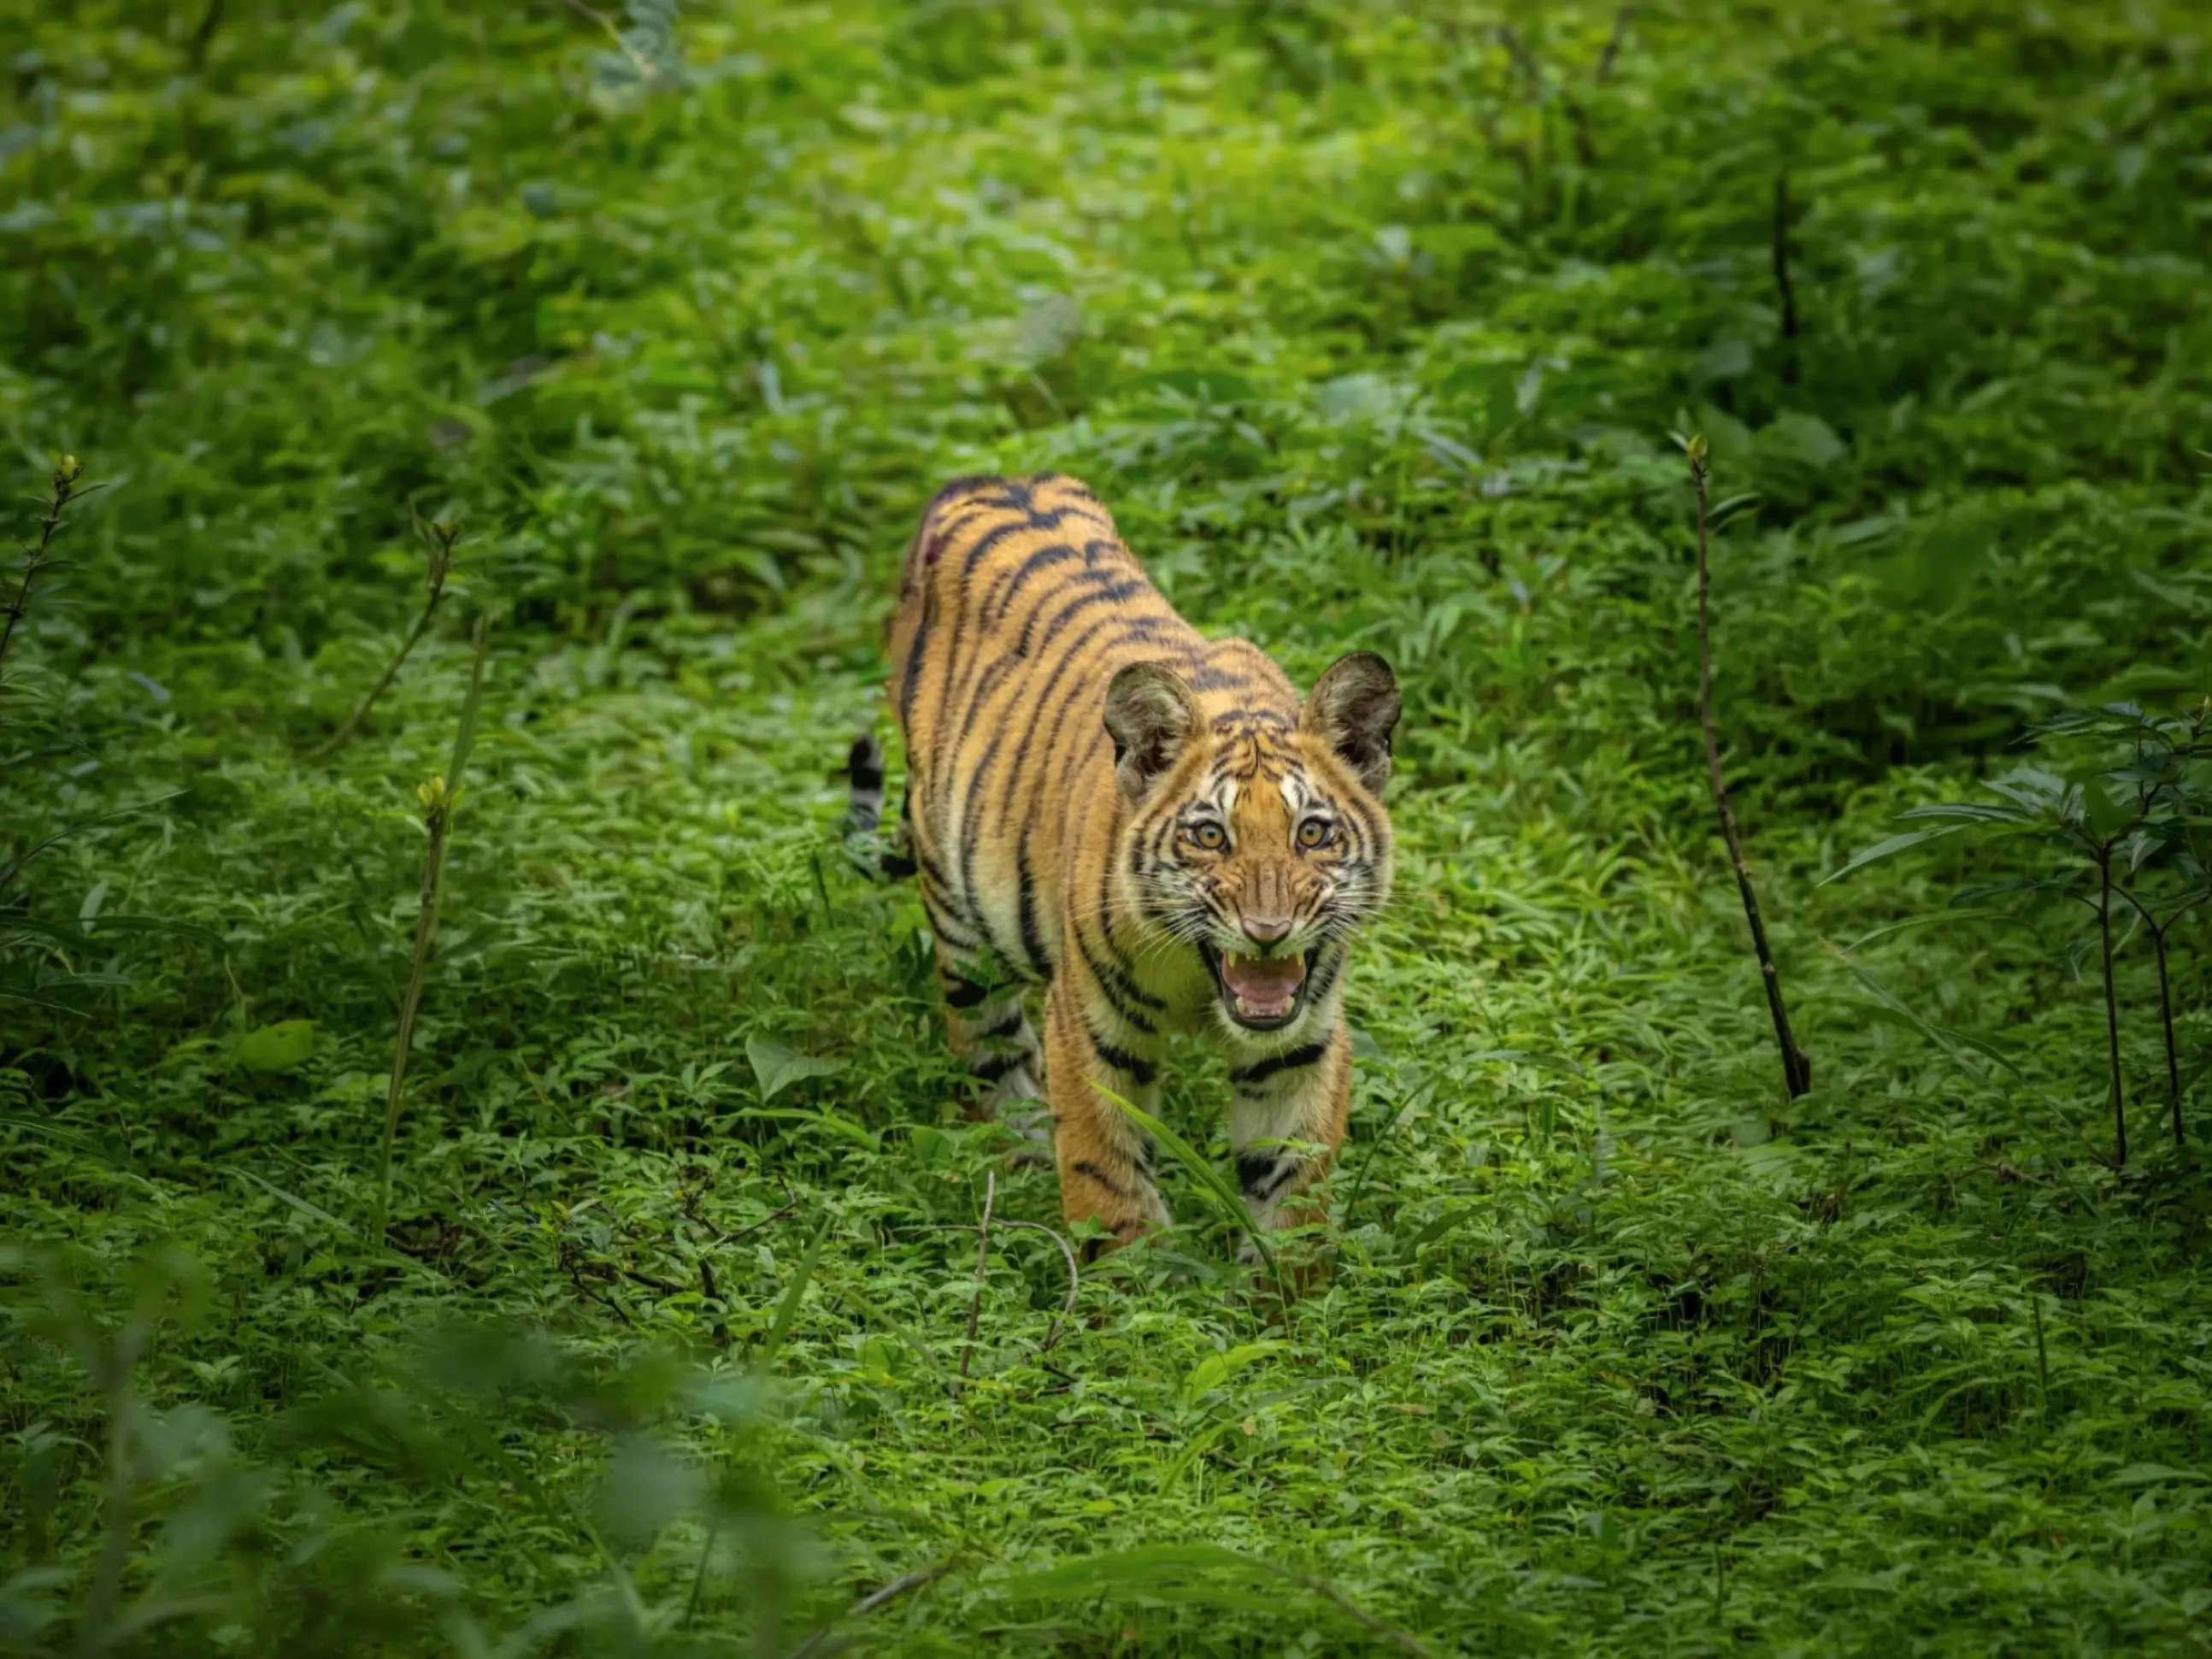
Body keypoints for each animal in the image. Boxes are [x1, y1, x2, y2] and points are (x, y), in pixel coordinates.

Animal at [847, 473, 1401, 1264]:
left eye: (1313, 833)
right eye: (1210, 835)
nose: (1268, 932)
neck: (1201, 987)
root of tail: (986, 478)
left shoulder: (1303, 1042)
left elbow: (1293, 1192)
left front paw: (1281, 1290)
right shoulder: (1087, 1025)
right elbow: (1105, 1175)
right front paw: (1134, 1284)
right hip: (961, 920)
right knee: (988, 1050)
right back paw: (1016, 1167)